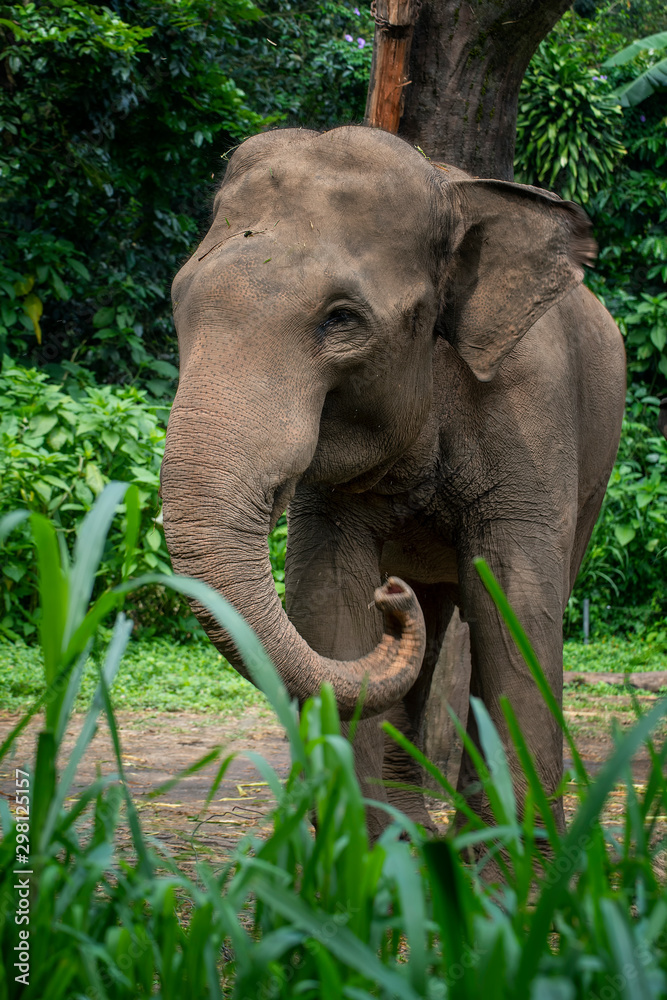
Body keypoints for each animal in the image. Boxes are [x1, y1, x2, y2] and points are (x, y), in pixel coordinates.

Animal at [160, 125, 626, 841]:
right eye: (178, 304)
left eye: (341, 319)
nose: (391, 597)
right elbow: (330, 602)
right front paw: (373, 858)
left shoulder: (533, 409)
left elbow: (518, 606)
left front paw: (509, 867)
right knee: (431, 625)